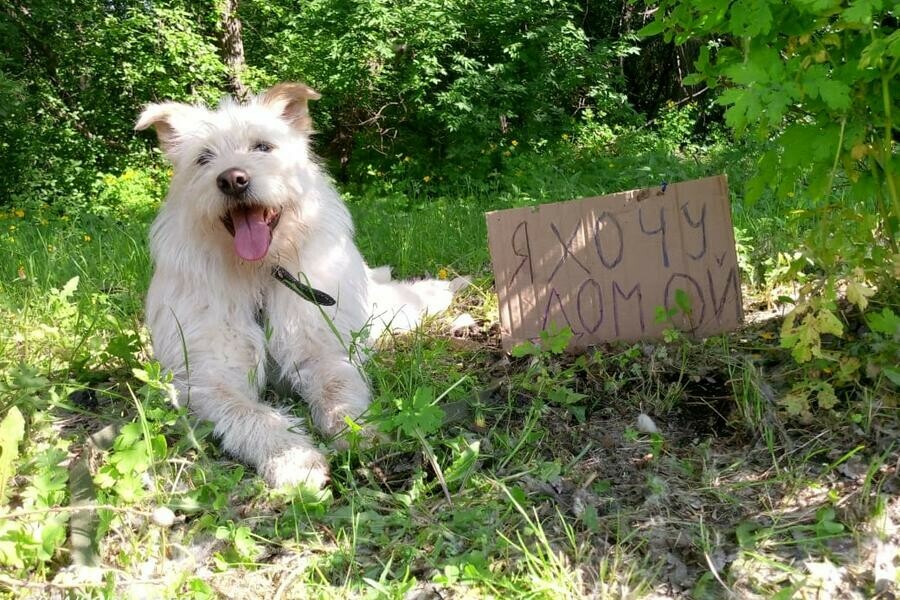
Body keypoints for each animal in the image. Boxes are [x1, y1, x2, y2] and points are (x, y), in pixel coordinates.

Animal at [137, 83, 460, 488]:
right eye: (204, 157)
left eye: (263, 147)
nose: (232, 179)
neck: (259, 273)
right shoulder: (211, 378)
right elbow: (250, 414)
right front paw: (293, 459)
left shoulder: (322, 350)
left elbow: (339, 392)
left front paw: (361, 432)